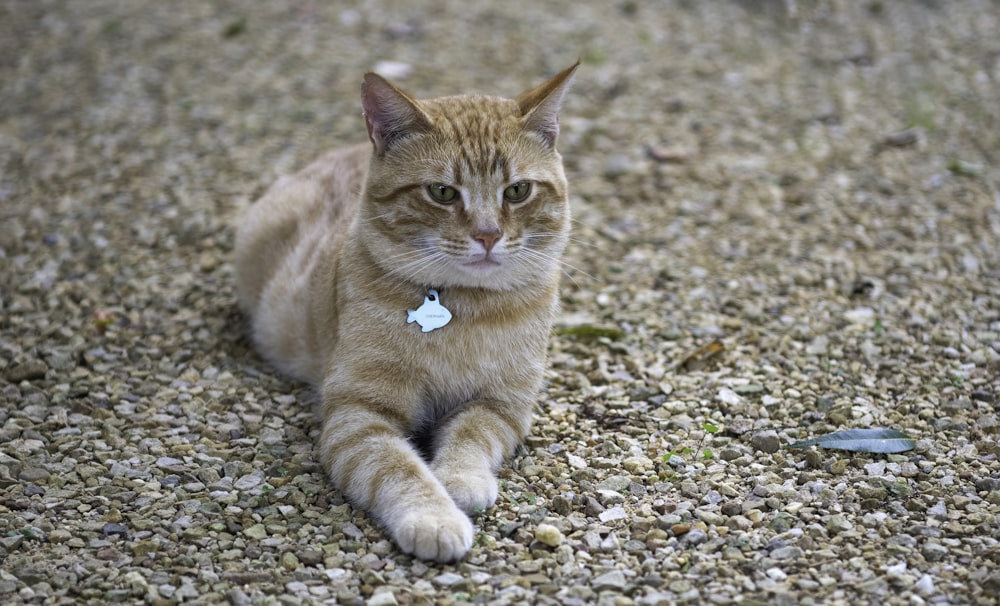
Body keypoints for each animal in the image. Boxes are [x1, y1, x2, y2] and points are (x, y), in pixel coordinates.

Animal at [233, 61, 580, 564]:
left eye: (517, 191)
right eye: (442, 192)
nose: (488, 235)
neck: (467, 310)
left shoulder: (502, 406)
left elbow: (470, 437)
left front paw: (460, 480)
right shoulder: (358, 416)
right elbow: (398, 468)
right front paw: (434, 518)